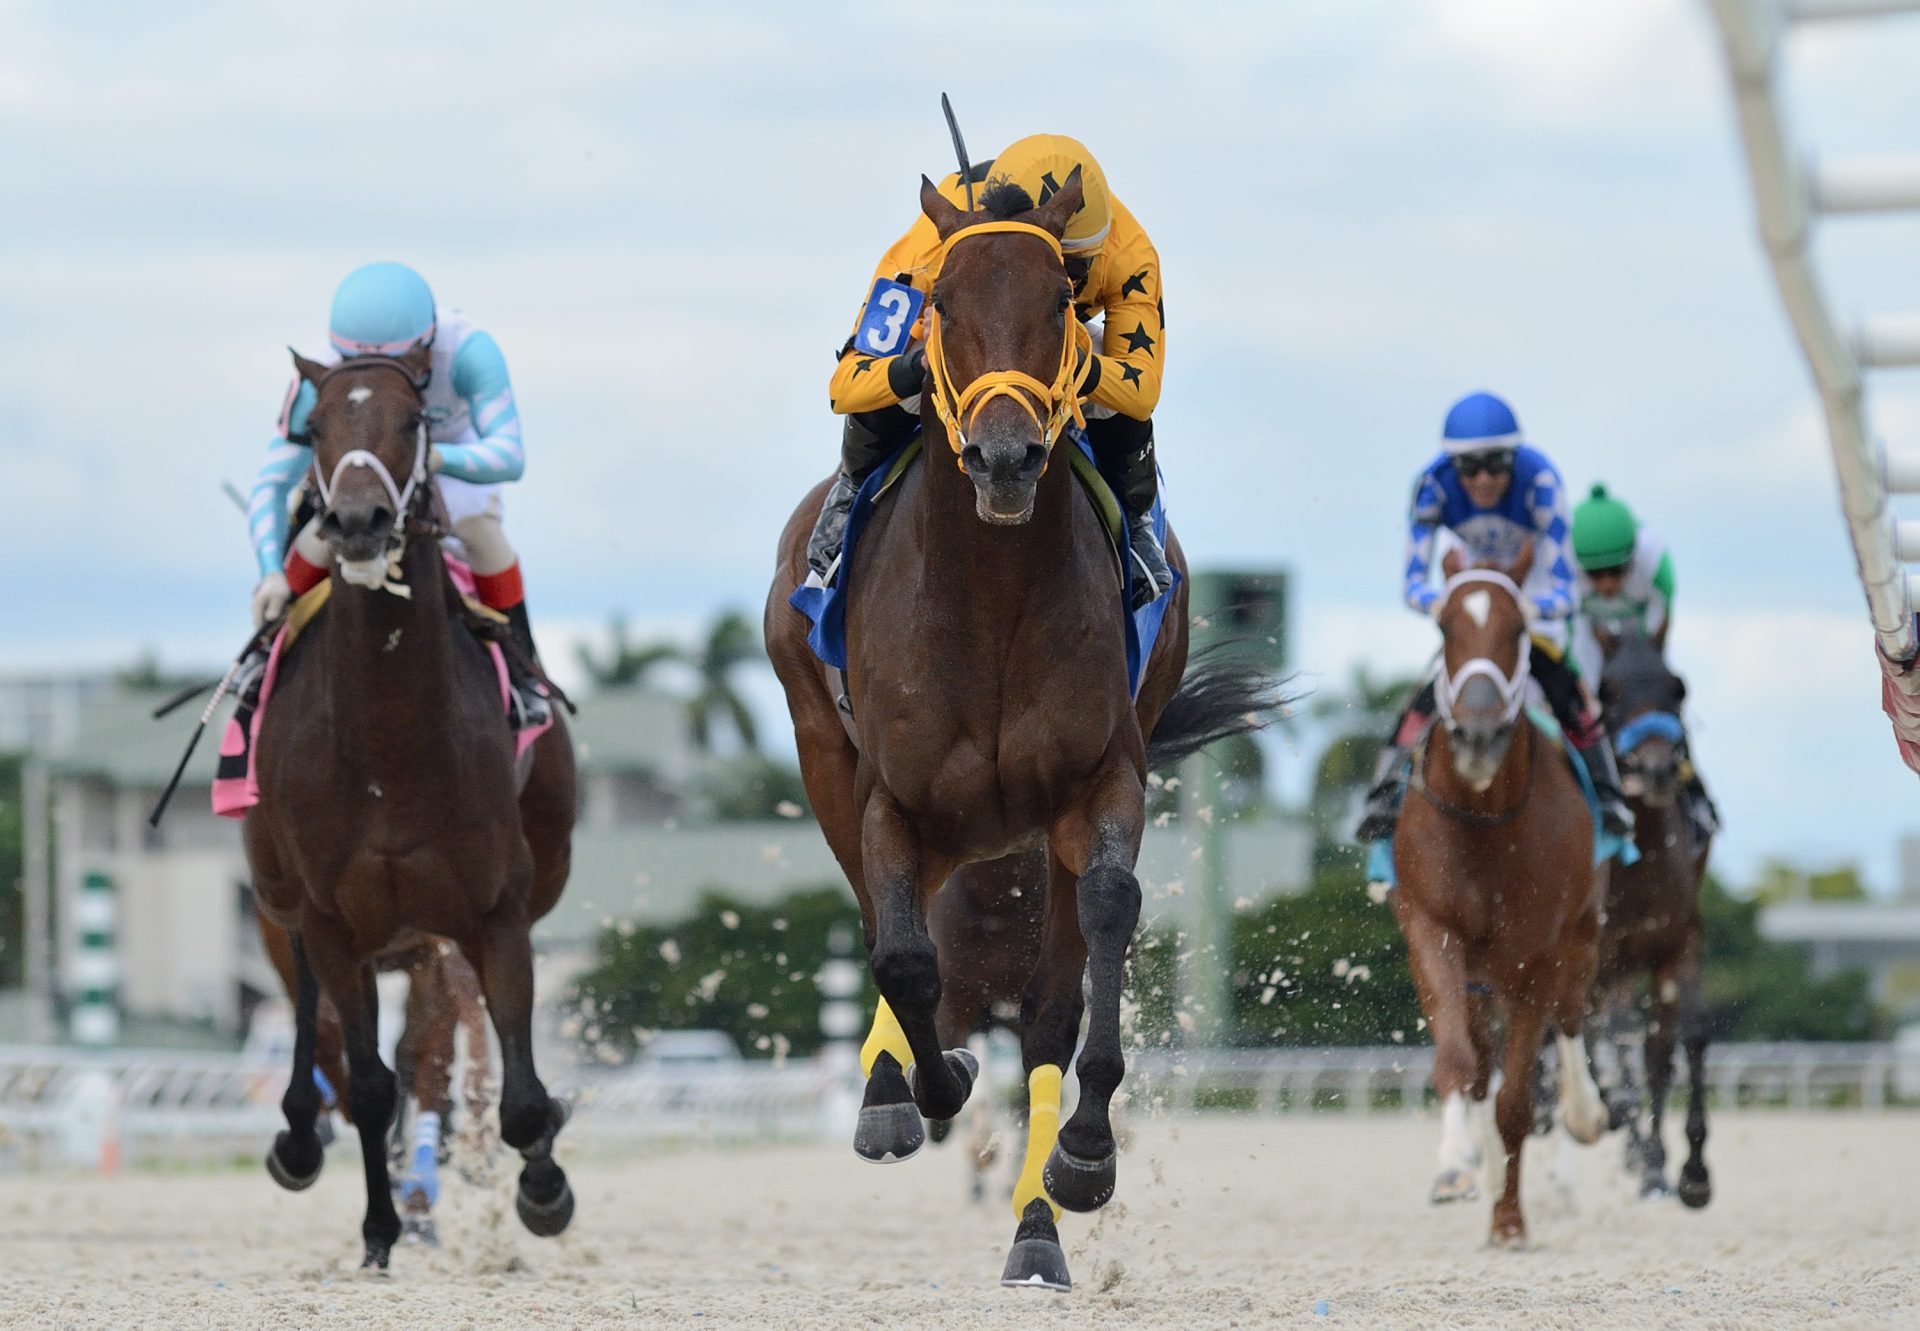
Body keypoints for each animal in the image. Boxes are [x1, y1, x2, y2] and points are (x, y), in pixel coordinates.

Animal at [247, 347, 576, 1275]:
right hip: (287, 908)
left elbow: (508, 1084)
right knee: (321, 1032)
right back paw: (300, 1137)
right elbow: (365, 1080)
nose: (357, 521)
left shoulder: (490, 914)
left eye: (412, 419)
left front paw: (543, 1186)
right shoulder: (328, 919)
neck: (390, 743)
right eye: (315, 426)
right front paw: (379, 1229)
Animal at [760, 169, 1274, 1290]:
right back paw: (894, 1091)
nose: (1005, 457)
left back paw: (1038, 1224)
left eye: (1059, 305)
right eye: (943, 304)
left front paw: (1083, 1154)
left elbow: (1095, 943)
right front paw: (918, 1087)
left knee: (1044, 1010)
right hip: (824, 750)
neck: (990, 595)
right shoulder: (892, 799)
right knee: (887, 928)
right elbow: (906, 963)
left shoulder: (1099, 782)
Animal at [1390, 545, 1612, 1244]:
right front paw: (1458, 1164)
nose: (1479, 734)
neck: (1484, 822)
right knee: (1484, 1058)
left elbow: (1517, 1101)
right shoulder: (1430, 927)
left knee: (1569, 1021)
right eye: (1443, 627)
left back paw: (1583, 1113)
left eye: (1518, 631)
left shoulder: (1537, 953)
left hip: (1581, 933)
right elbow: (1462, 1065)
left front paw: (1510, 1221)